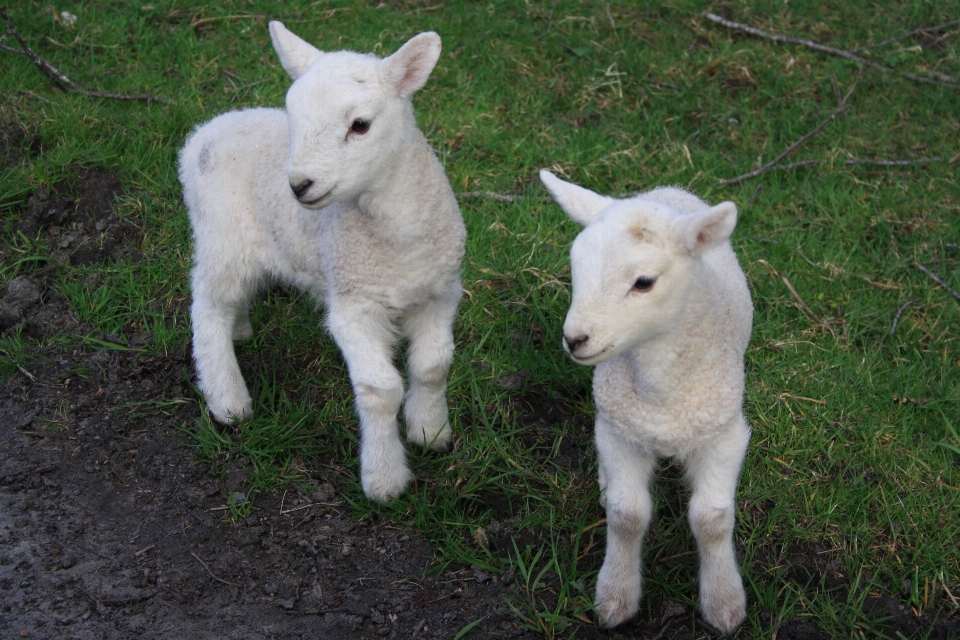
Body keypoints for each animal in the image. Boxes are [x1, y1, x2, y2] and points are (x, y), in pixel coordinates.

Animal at [180, 22, 468, 502]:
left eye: (360, 125)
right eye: (293, 117)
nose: (299, 185)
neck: (397, 237)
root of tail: (205, 131)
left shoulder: (440, 292)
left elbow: (433, 367)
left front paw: (431, 431)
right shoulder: (352, 305)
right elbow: (380, 389)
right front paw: (384, 478)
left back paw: (241, 330)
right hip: (223, 239)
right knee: (208, 309)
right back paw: (228, 400)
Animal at [540, 171, 752, 636]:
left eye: (643, 282)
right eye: (575, 267)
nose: (575, 339)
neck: (660, 393)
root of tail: (664, 190)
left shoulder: (724, 434)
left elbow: (712, 520)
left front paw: (723, 601)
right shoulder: (620, 431)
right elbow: (627, 515)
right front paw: (616, 595)